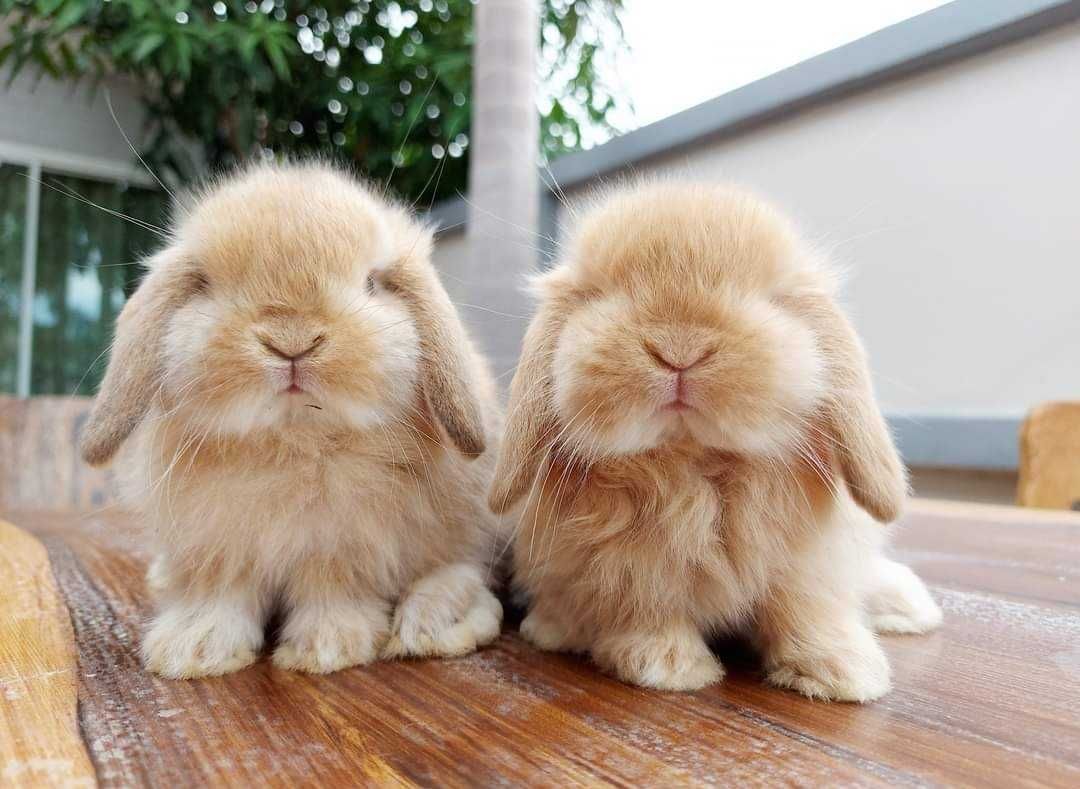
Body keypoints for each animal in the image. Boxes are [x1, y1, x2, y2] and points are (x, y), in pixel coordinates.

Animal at [82, 161, 503, 677]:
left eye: (372, 283)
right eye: (206, 285)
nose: (291, 339)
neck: (295, 439)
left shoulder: (346, 546)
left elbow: (331, 590)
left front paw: (325, 649)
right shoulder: (217, 547)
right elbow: (219, 592)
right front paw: (193, 651)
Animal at [494, 182, 941, 699]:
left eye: (771, 297)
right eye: (599, 294)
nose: (678, 348)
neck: (695, 463)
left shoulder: (809, 566)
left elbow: (807, 611)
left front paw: (843, 672)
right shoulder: (629, 575)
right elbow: (647, 611)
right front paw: (669, 667)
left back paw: (909, 607)